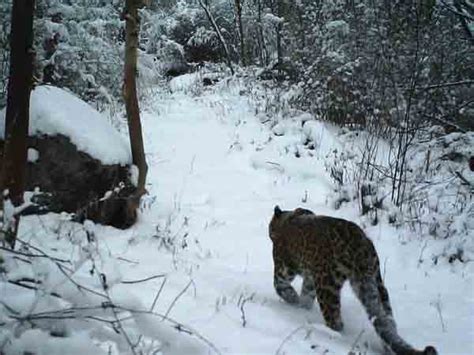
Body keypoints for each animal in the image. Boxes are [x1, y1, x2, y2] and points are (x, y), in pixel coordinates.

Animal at [268, 206, 438, 355]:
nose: (269, 233)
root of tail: (360, 246)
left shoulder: (284, 270)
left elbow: (281, 287)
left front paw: (293, 301)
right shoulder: (310, 279)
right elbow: (306, 297)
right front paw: (301, 307)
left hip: (327, 287)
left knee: (335, 320)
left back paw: (333, 336)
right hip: (377, 285)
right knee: (387, 322)